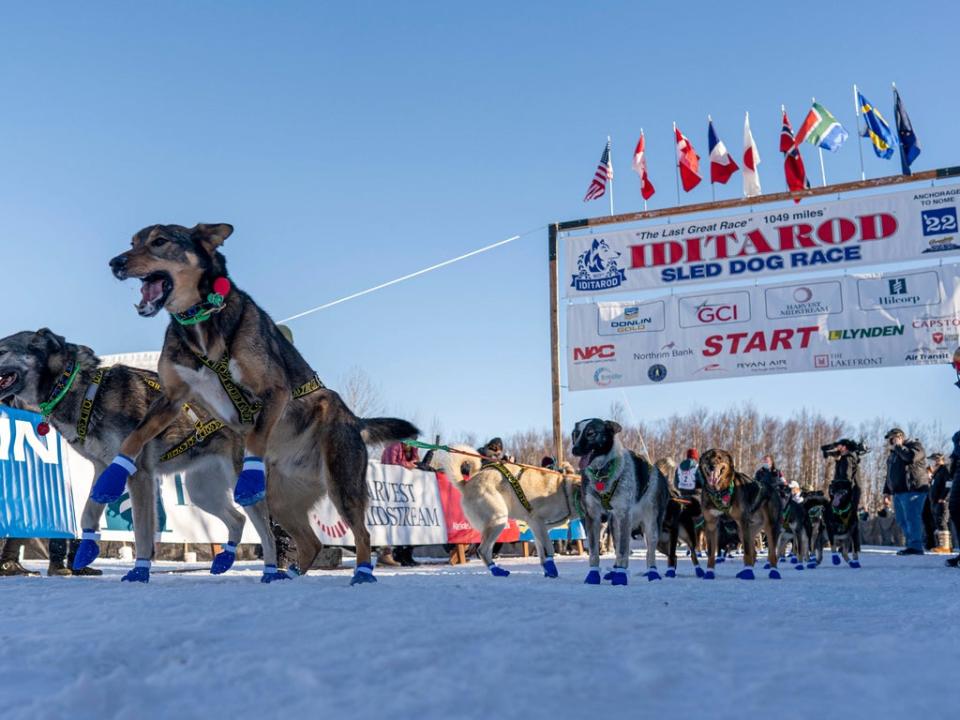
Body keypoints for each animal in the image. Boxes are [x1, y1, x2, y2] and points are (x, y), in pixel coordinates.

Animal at [0, 330, 278, 584]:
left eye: (2, 350)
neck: (82, 389)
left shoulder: (139, 474)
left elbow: (142, 531)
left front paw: (140, 571)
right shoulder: (104, 470)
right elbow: (88, 512)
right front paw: (87, 549)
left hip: (242, 485)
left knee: (268, 534)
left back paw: (273, 572)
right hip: (201, 491)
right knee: (238, 519)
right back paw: (226, 559)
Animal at [96, 224, 420, 584]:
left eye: (159, 241)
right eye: (133, 242)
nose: (115, 263)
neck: (200, 323)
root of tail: (355, 420)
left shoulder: (274, 392)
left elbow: (256, 437)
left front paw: (249, 474)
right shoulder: (171, 398)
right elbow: (133, 438)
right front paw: (112, 474)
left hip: (342, 483)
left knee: (362, 534)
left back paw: (361, 572)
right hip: (281, 499)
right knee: (310, 541)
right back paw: (287, 575)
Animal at [568, 416, 668, 584]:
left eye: (591, 433)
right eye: (575, 434)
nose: (574, 450)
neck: (602, 473)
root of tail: (656, 470)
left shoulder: (624, 515)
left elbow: (623, 551)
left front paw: (621, 577)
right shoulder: (593, 516)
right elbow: (594, 552)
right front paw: (593, 575)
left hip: (650, 525)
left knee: (649, 552)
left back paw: (652, 573)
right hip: (614, 525)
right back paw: (614, 570)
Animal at [692, 450, 784, 580]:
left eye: (719, 458)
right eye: (707, 458)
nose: (711, 466)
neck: (720, 492)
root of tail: (771, 488)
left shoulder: (742, 521)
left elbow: (747, 552)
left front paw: (748, 572)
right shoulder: (711, 524)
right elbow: (711, 553)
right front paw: (709, 572)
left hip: (768, 527)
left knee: (771, 553)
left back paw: (772, 572)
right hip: (744, 530)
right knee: (754, 552)